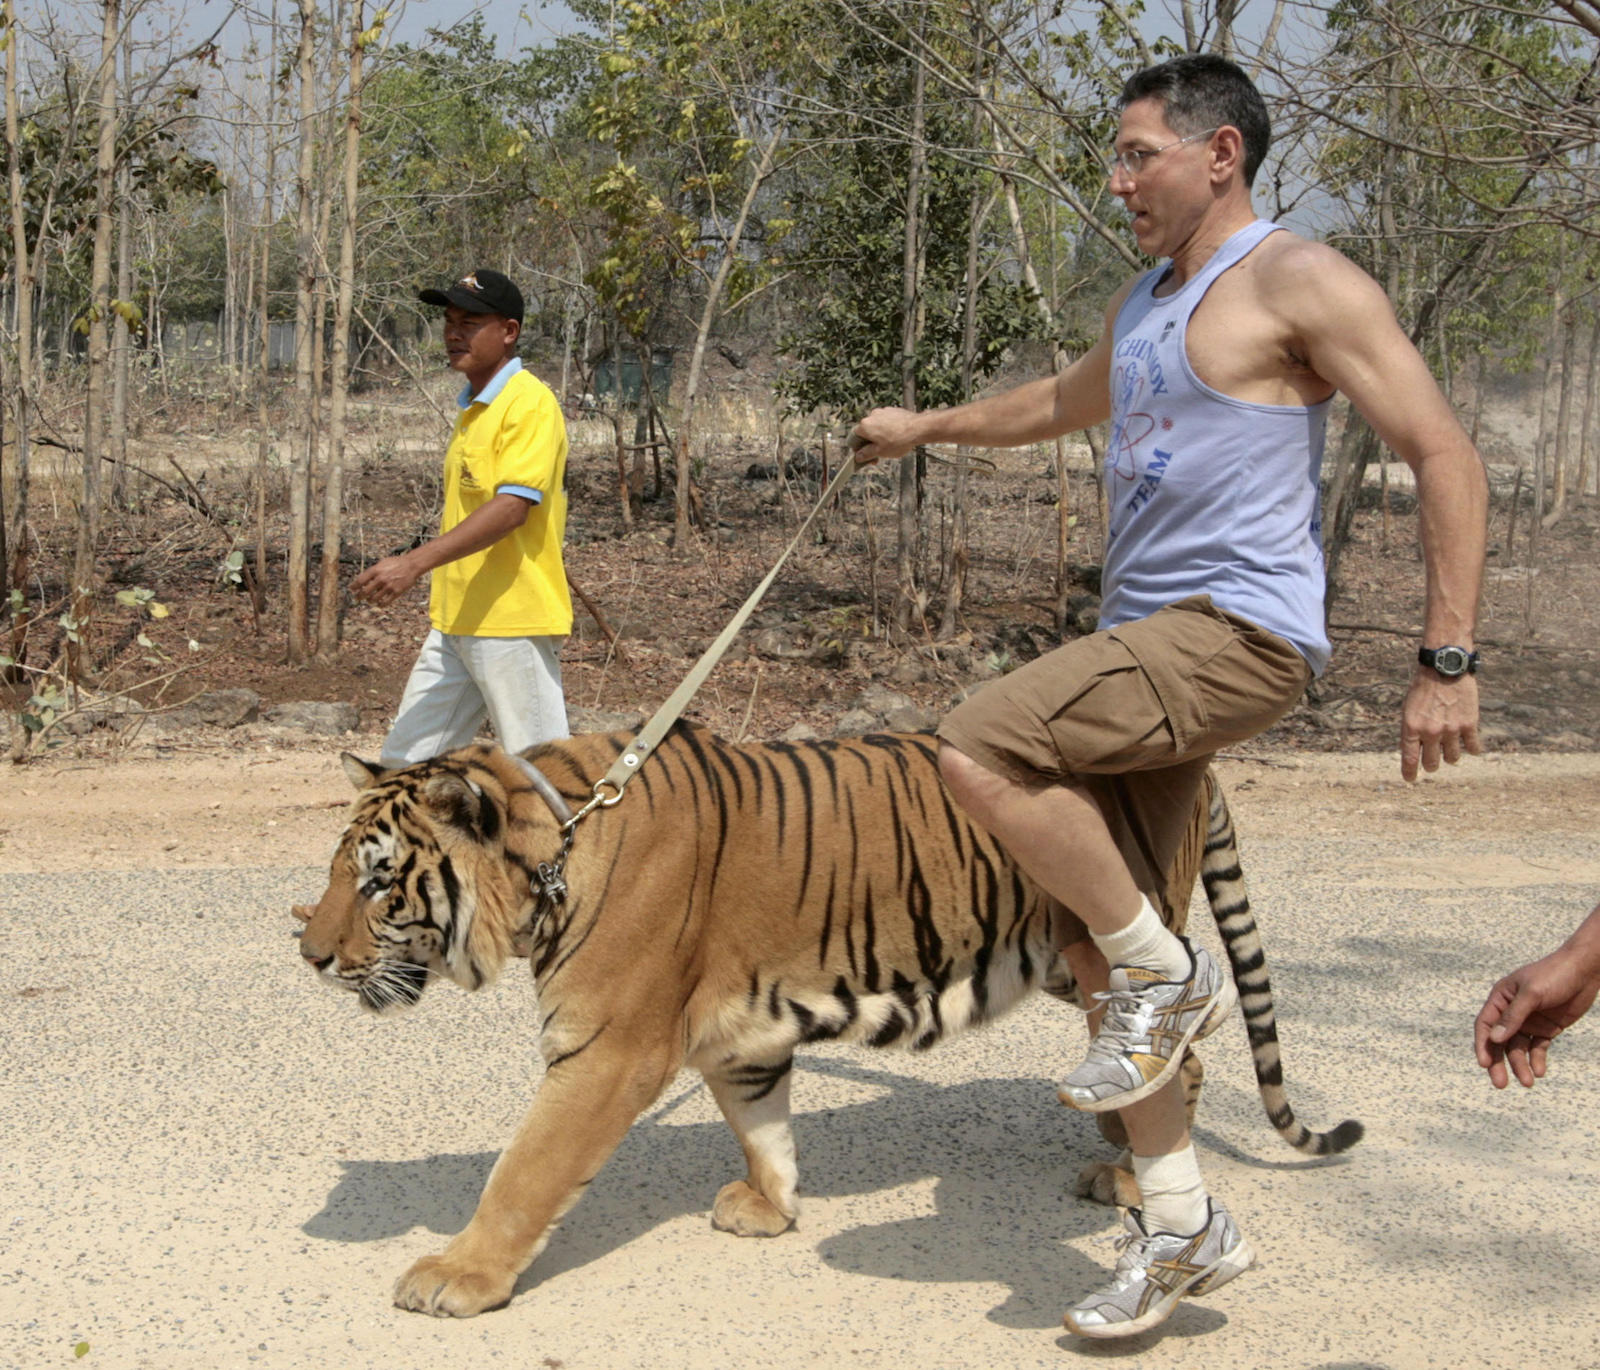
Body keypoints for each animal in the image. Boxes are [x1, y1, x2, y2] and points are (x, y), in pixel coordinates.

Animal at [294, 726, 1356, 1318]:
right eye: (343, 870)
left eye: (379, 882)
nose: (309, 955)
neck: (546, 859)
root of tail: (1195, 767)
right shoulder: (741, 1036)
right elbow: (762, 1124)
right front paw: (770, 1209)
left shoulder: (606, 1051)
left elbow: (523, 1175)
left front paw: (456, 1277)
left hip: (1098, 940)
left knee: (1180, 1041)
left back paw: (1128, 1171)